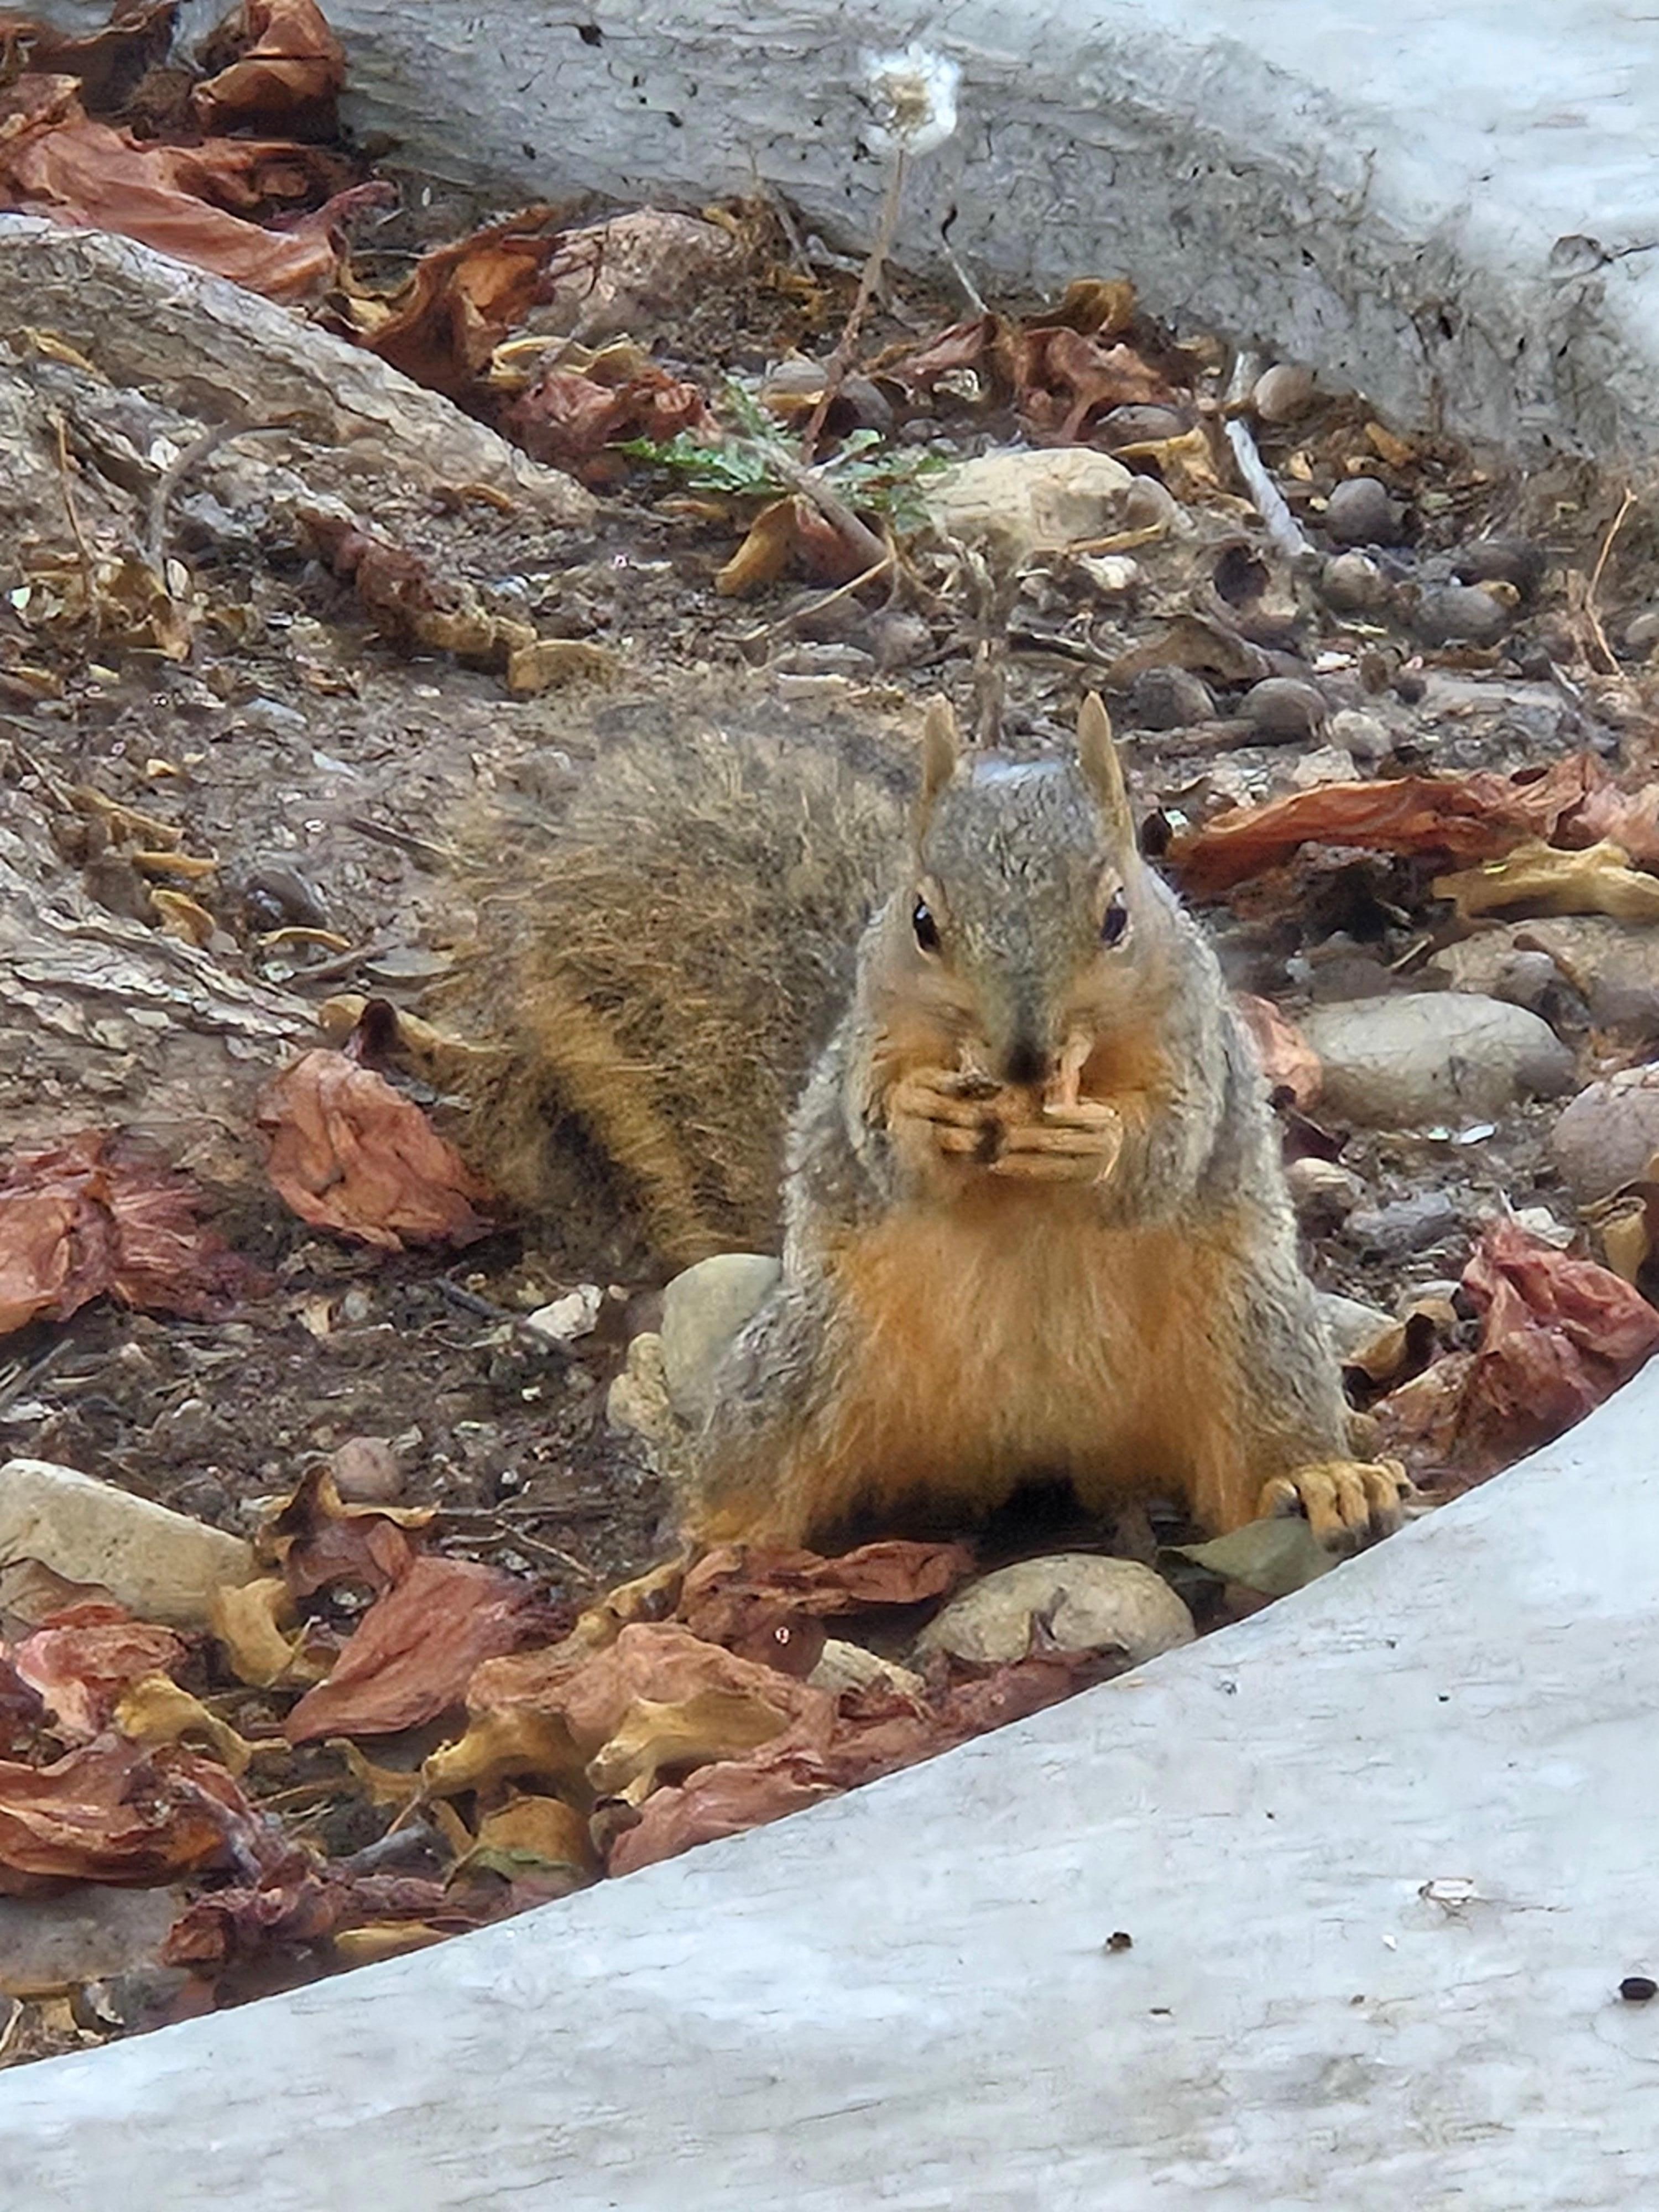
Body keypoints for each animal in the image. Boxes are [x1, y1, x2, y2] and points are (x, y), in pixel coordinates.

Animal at [438, 687, 1409, 1554]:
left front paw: (1094, 1142)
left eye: (1117, 914)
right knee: (751, 1491)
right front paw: (922, 1116)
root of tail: (1040, 1442)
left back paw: (1326, 1480)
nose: (1022, 1056)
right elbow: (880, 1143)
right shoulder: (871, 1040)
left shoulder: (1194, 1043)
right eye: (922, 921)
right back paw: (679, 1573)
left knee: (1260, 1461)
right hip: (803, 1368)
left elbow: (1166, 1149)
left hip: (1253, 1338)